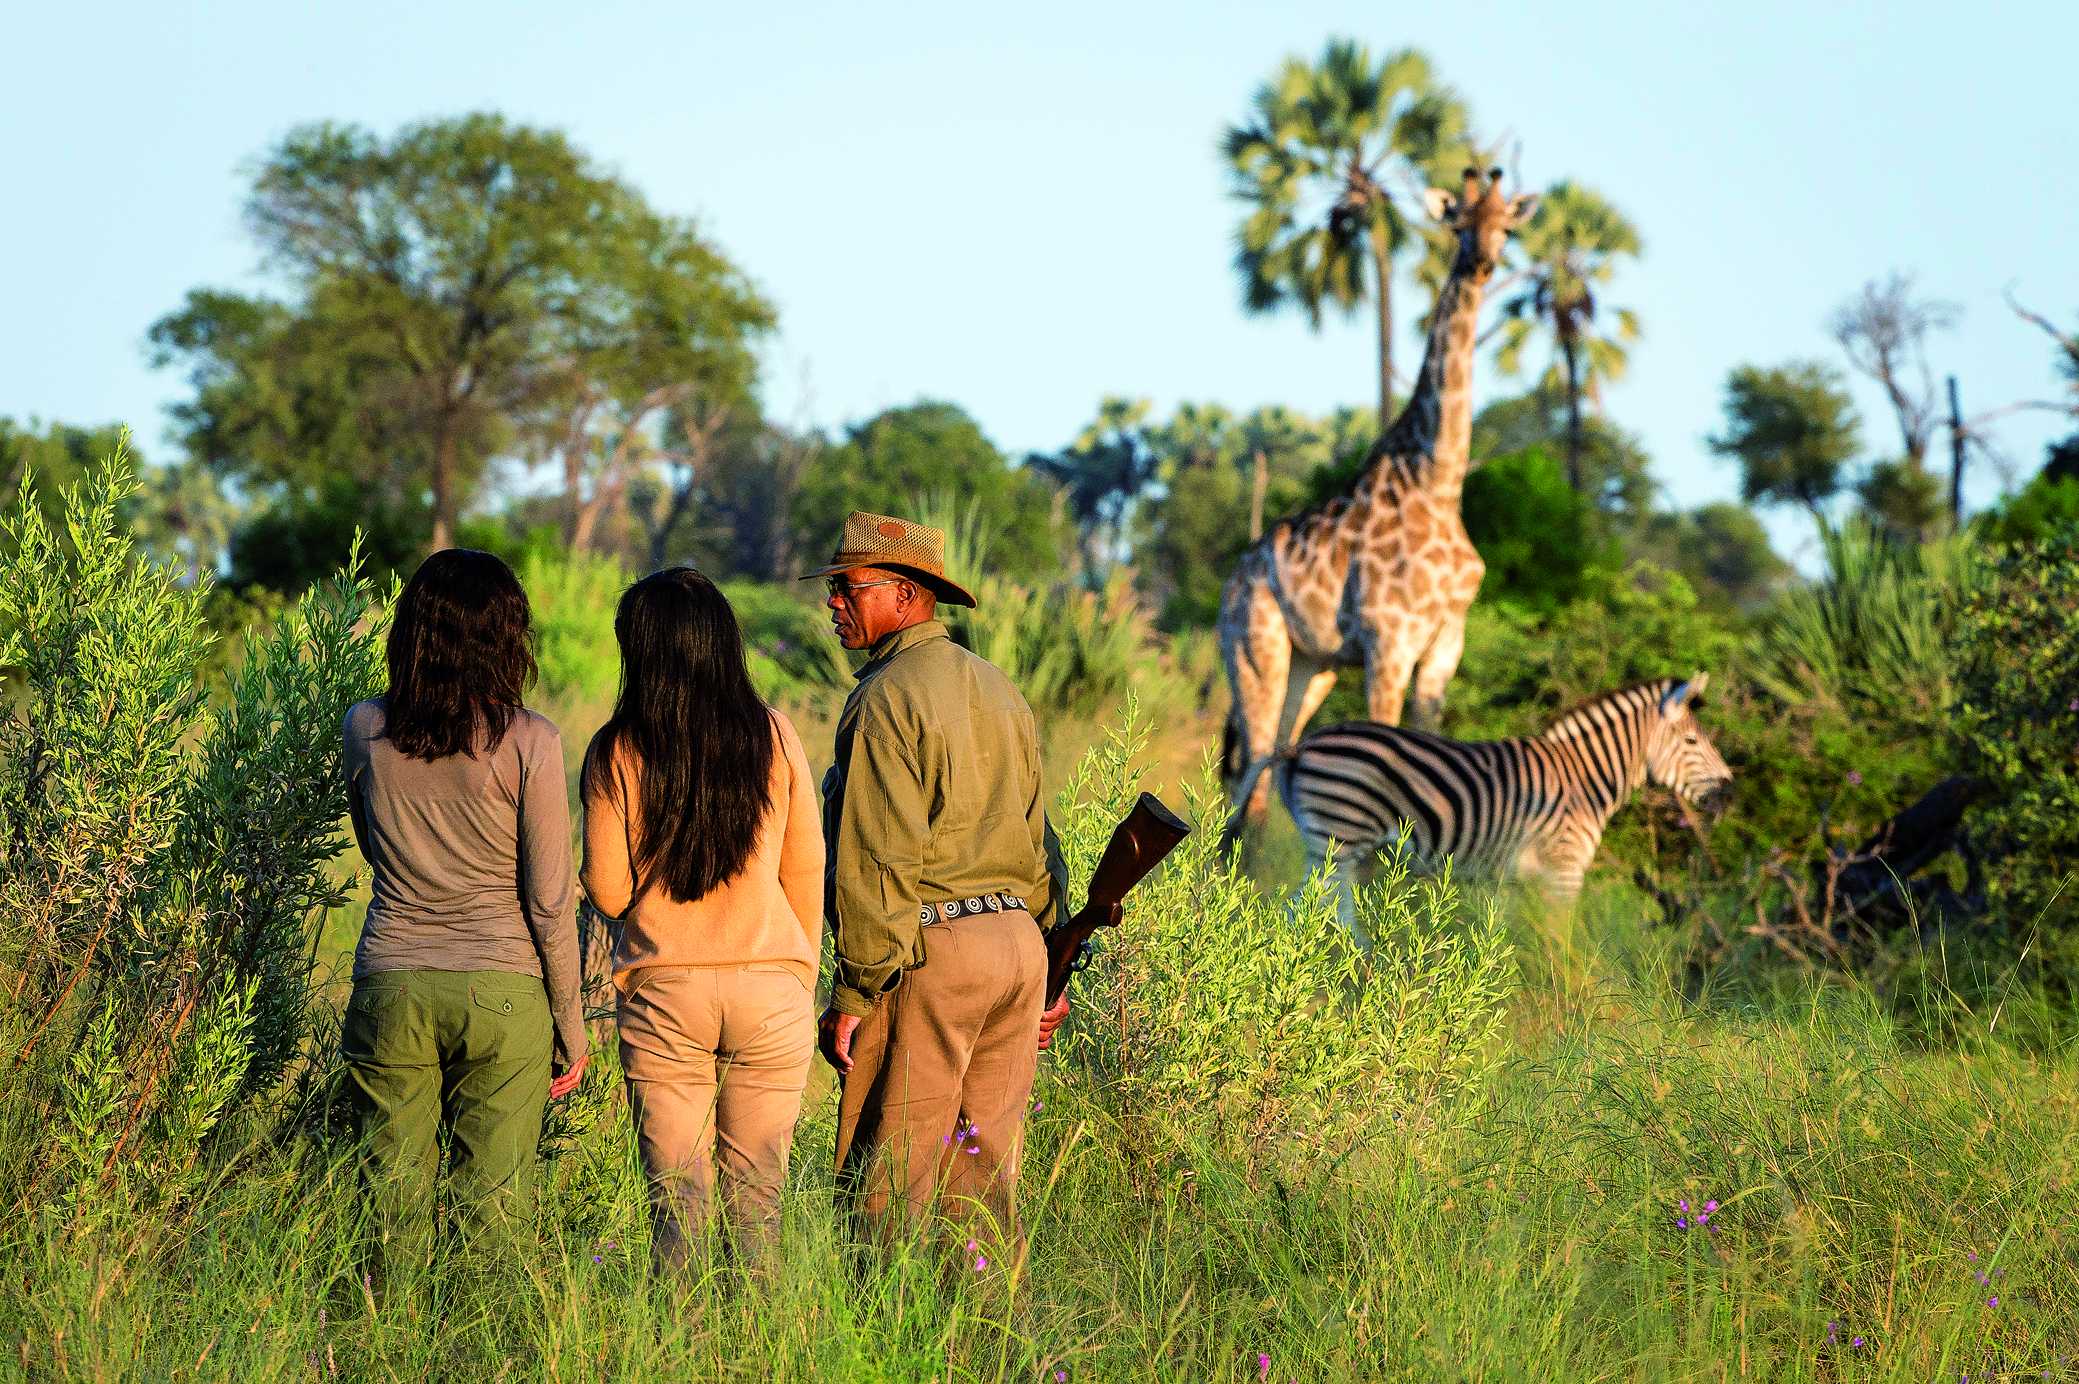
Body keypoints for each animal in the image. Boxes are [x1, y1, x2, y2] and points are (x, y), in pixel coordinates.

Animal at [1214, 171, 1530, 818]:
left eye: (1507, 227)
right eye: (1459, 223)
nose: (1483, 263)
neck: (1440, 483)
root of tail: (1229, 586)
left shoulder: (1444, 645)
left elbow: (1432, 744)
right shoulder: (1388, 642)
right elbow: (1387, 747)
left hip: (1312, 666)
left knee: (1266, 765)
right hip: (1255, 651)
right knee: (1251, 769)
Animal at [1222, 669, 1729, 926]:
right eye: (1692, 742)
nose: (1729, 793)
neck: (1583, 781)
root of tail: (1303, 744)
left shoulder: (1511, 879)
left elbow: (1509, 939)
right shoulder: (1564, 871)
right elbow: (1560, 943)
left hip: (1330, 846)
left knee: (1313, 912)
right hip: (1339, 839)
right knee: (1316, 912)